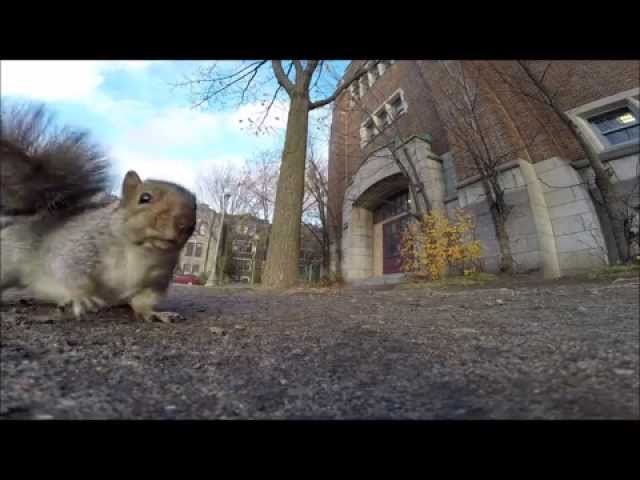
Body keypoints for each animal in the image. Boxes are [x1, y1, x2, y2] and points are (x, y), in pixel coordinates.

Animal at [1, 103, 196, 324]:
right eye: (144, 198)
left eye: (195, 206)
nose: (185, 223)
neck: (142, 251)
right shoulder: (80, 247)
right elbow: (71, 271)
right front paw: (82, 297)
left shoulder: (155, 280)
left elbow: (144, 301)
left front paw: (155, 313)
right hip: (9, 258)